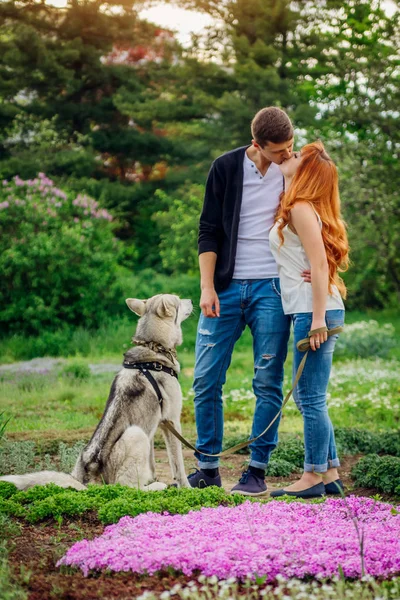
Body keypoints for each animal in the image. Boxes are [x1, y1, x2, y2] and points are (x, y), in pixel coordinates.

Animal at [0, 294, 192, 492]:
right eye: (178, 300)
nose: (192, 300)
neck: (153, 347)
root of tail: (87, 482)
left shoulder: (154, 428)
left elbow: (153, 465)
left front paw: (154, 478)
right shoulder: (171, 422)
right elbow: (178, 466)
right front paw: (186, 488)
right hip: (136, 434)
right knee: (126, 487)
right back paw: (155, 487)